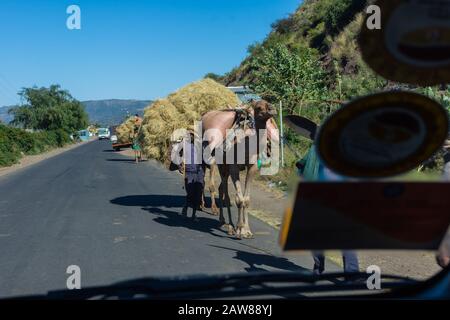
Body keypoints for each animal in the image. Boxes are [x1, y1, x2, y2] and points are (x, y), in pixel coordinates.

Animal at [203, 100, 278, 238]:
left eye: (268, 102)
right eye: (259, 107)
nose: (272, 109)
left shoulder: (253, 167)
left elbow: (246, 199)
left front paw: (247, 230)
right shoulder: (234, 167)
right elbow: (239, 199)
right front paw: (239, 228)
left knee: (221, 189)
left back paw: (223, 221)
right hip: (222, 166)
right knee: (225, 192)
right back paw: (230, 226)